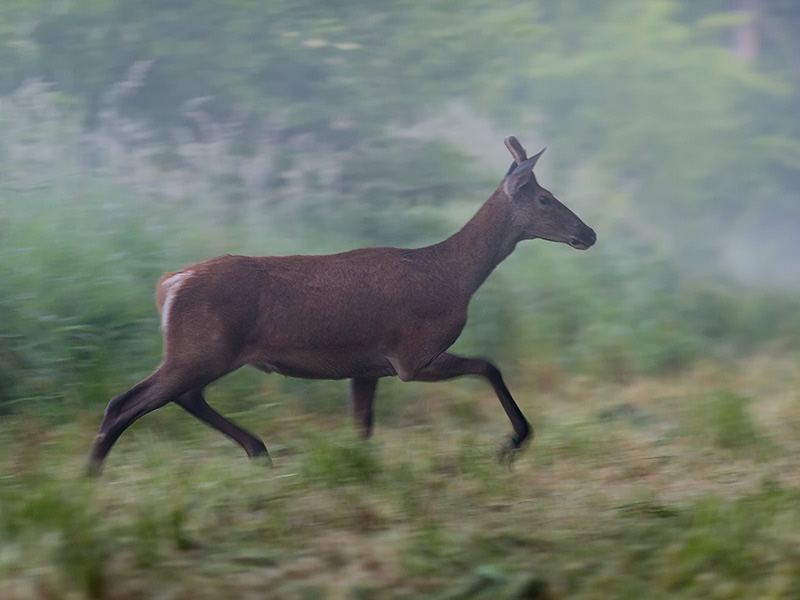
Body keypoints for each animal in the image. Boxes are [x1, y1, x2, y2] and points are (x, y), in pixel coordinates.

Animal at [89, 135, 600, 474]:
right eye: (545, 198)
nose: (589, 233)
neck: (454, 277)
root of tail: (168, 284)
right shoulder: (413, 355)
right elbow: (490, 366)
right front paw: (513, 442)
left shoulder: (367, 366)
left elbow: (362, 427)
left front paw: (360, 471)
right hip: (200, 349)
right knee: (124, 403)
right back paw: (91, 477)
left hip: (202, 352)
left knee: (183, 396)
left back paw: (258, 450)